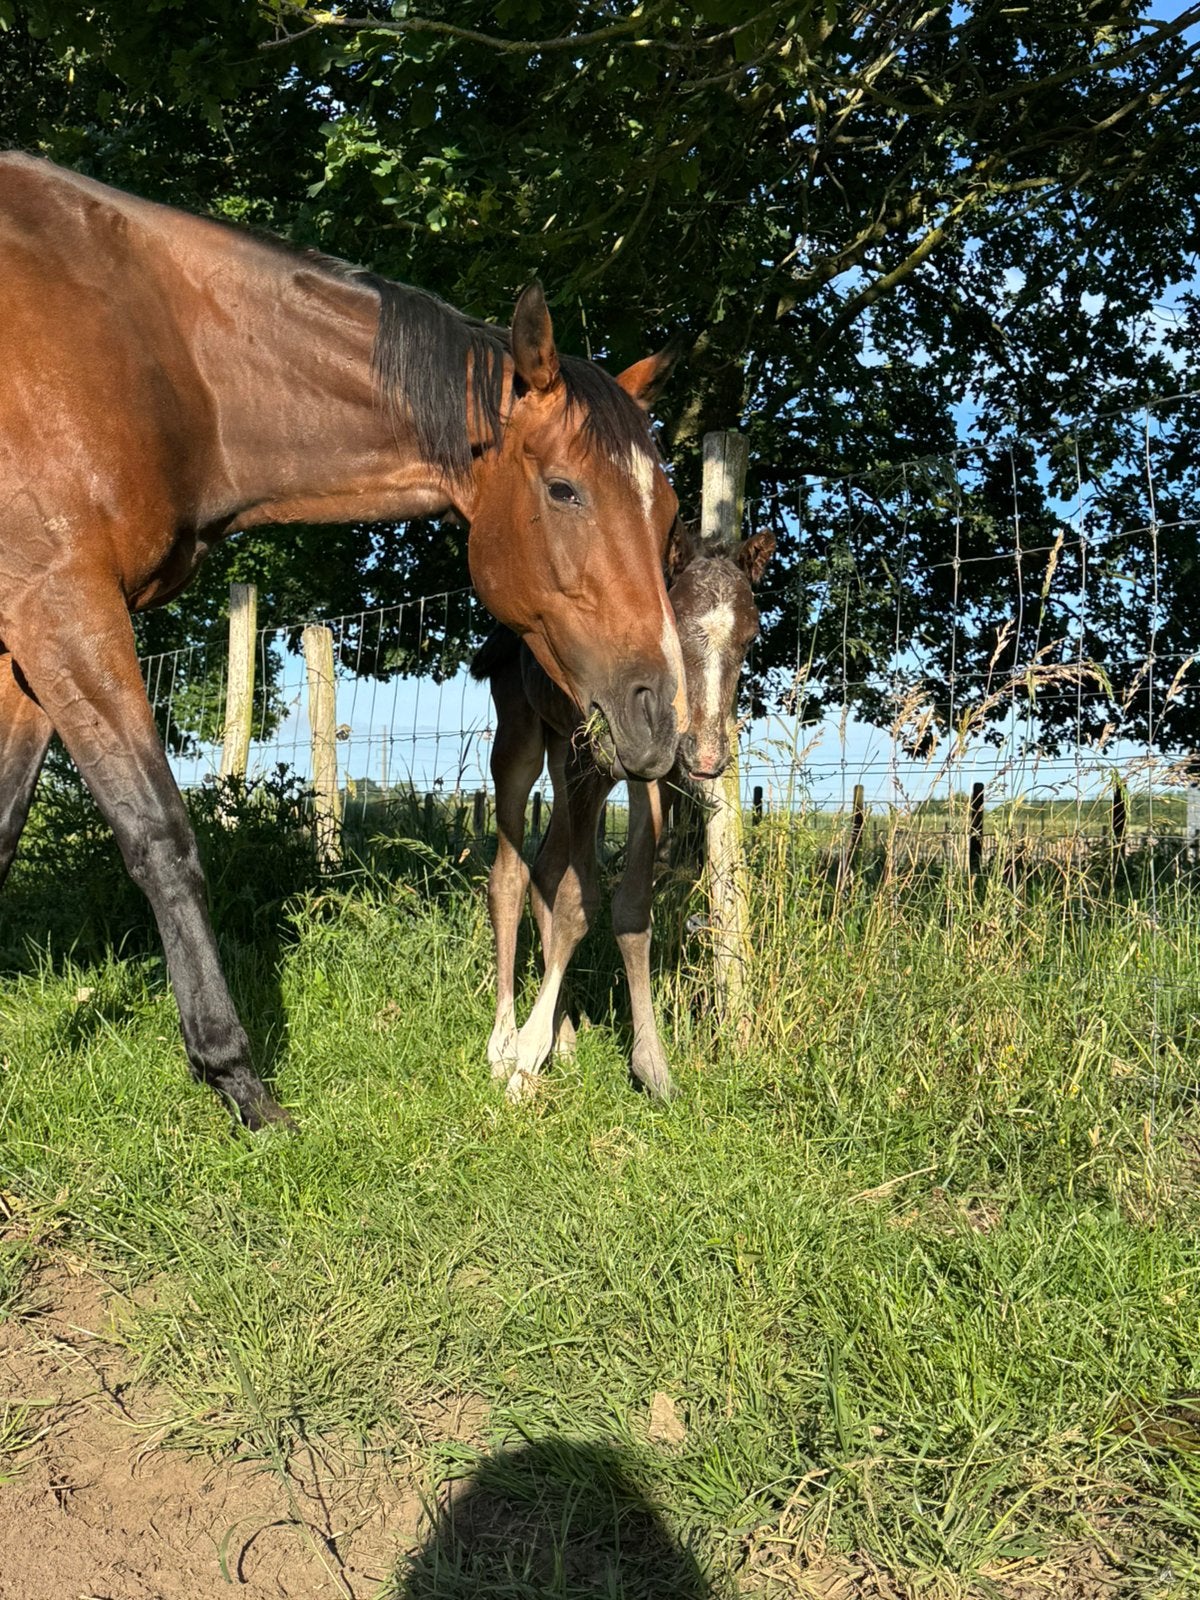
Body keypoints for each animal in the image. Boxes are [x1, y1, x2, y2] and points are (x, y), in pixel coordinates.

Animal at [0, 154, 687, 1127]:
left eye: (669, 511)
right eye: (564, 490)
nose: (658, 715)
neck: (150, 345)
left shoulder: (24, 639)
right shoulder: (61, 607)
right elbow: (161, 834)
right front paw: (241, 1084)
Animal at [474, 521, 775, 1101]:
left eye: (751, 637)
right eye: (675, 622)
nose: (707, 756)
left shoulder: (655, 778)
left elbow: (631, 907)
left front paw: (652, 1065)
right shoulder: (588, 760)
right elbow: (577, 903)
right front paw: (525, 1059)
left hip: (562, 752)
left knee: (546, 871)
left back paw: (564, 1038)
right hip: (524, 740)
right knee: (510, 878)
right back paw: (502, 1043)